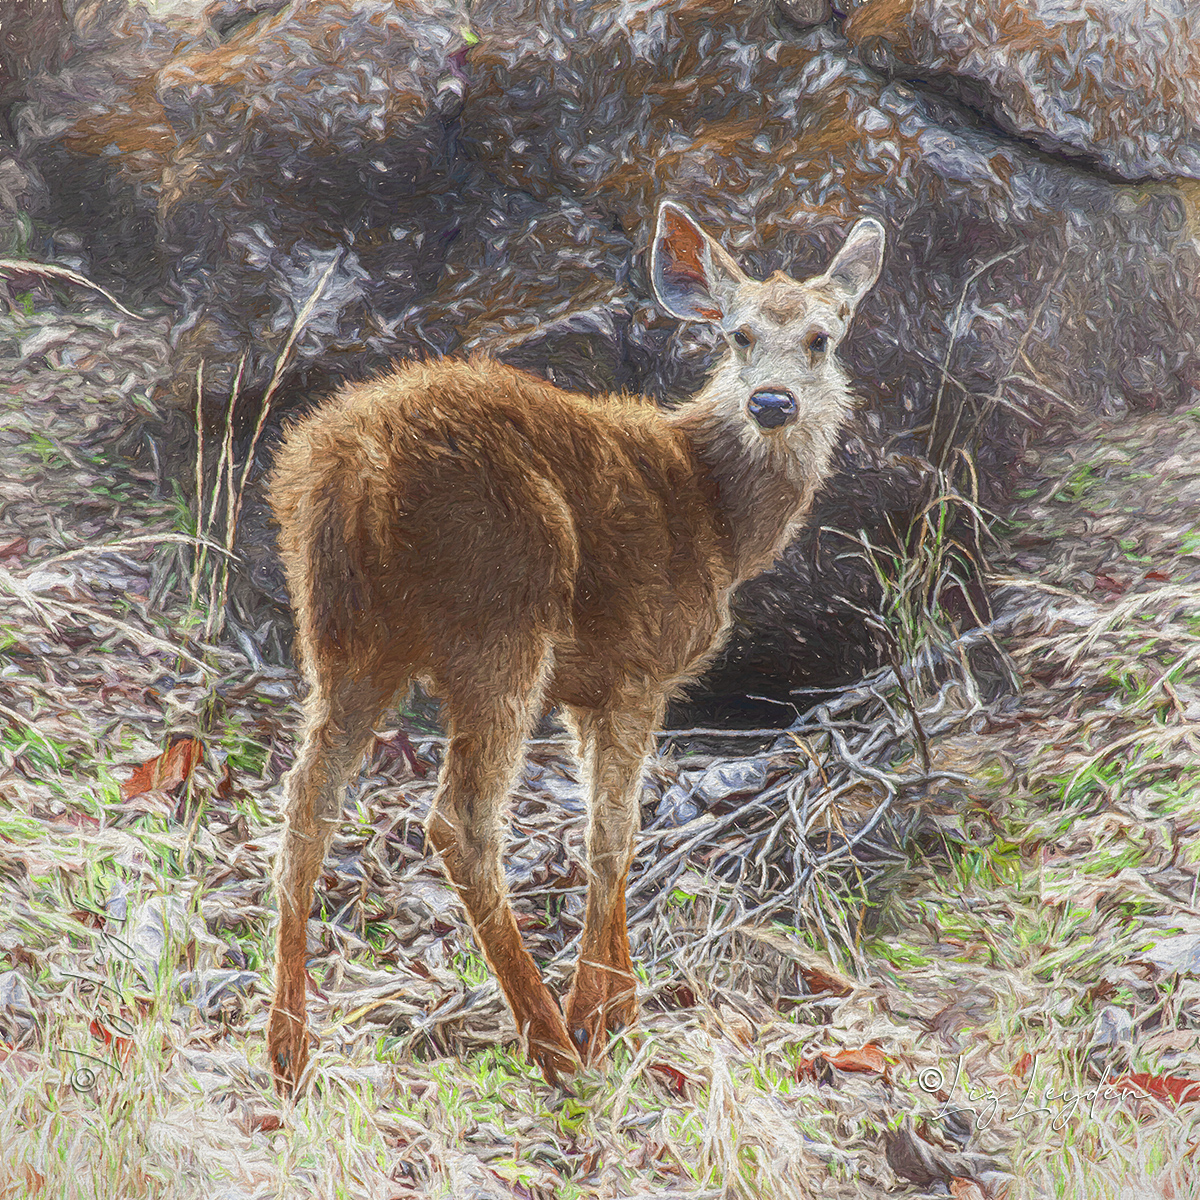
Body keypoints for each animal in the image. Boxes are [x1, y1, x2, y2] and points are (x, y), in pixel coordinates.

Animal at [267, 199, 883, 1089]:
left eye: (821, 338)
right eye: (737, 334)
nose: (772, 403)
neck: (718, 518)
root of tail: (354, 471)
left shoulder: (588, 688)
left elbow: (608, 826)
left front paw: (618, 1002)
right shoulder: (640, 665)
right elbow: (614, 831)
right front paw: (606, 1012)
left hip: (341, 633)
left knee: (305, 804)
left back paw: (287, 1048)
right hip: (501, 611)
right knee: (460, 821)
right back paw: (551, 1041)